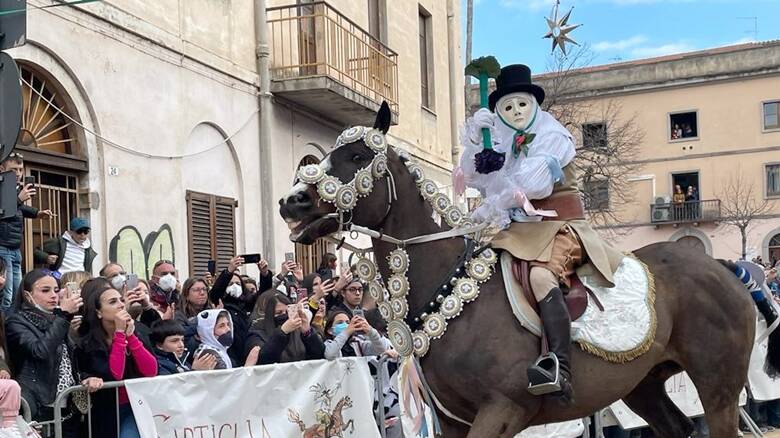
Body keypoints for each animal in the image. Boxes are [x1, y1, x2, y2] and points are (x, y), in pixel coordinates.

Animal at [278, 104, 776, 436]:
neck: (453, 288)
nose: (291, 202)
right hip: (644, 385)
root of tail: (721, 267)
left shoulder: (502, 409)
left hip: (718, 385)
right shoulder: (454, 420)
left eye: (359, 157)